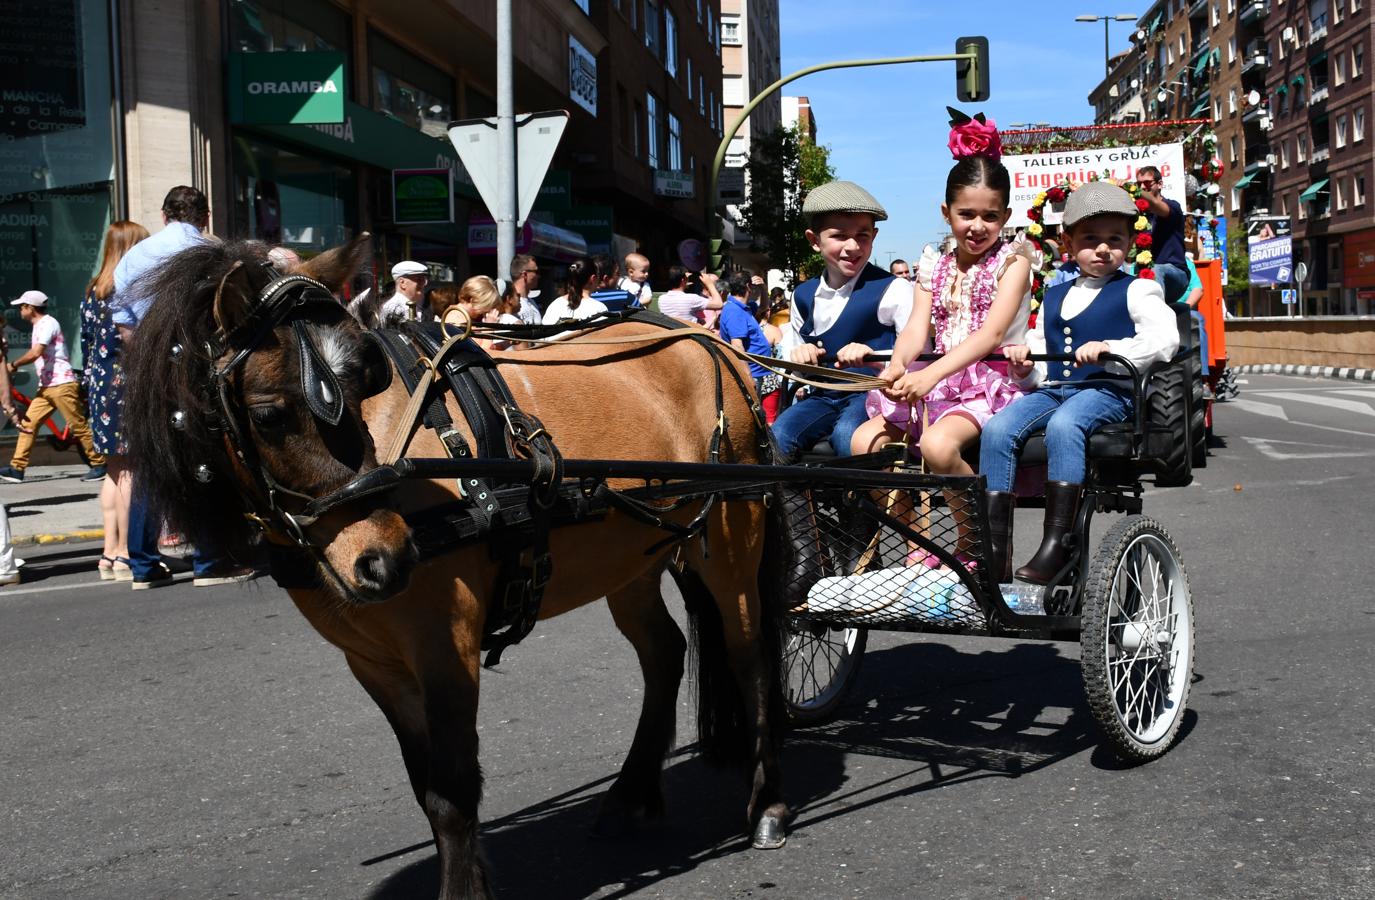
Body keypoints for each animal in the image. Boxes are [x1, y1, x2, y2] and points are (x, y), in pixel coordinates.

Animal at [123, 239, 797, 900]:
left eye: (362, 386)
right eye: (267, 415)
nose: (385, 557)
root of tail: (713, 342)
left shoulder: (445, 645)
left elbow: (452, 791)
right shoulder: (373, 664)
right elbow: (427, 789)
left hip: (734, 537)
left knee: (750, 655)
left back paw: (767, 803)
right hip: (631, 557)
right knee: (663, 653)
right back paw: (633, 792)